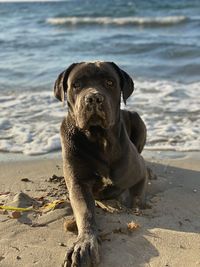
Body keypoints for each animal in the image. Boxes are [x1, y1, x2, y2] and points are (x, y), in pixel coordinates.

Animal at [54, 61, 148, 266]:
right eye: (76, 84)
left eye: (109, 82)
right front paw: (84, 244)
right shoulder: (78, 183)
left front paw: (136, 205)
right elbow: (85, 212)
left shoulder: (139, 172)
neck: (100, 139)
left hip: (137, 119)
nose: (94, 98)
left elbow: (138, 194)